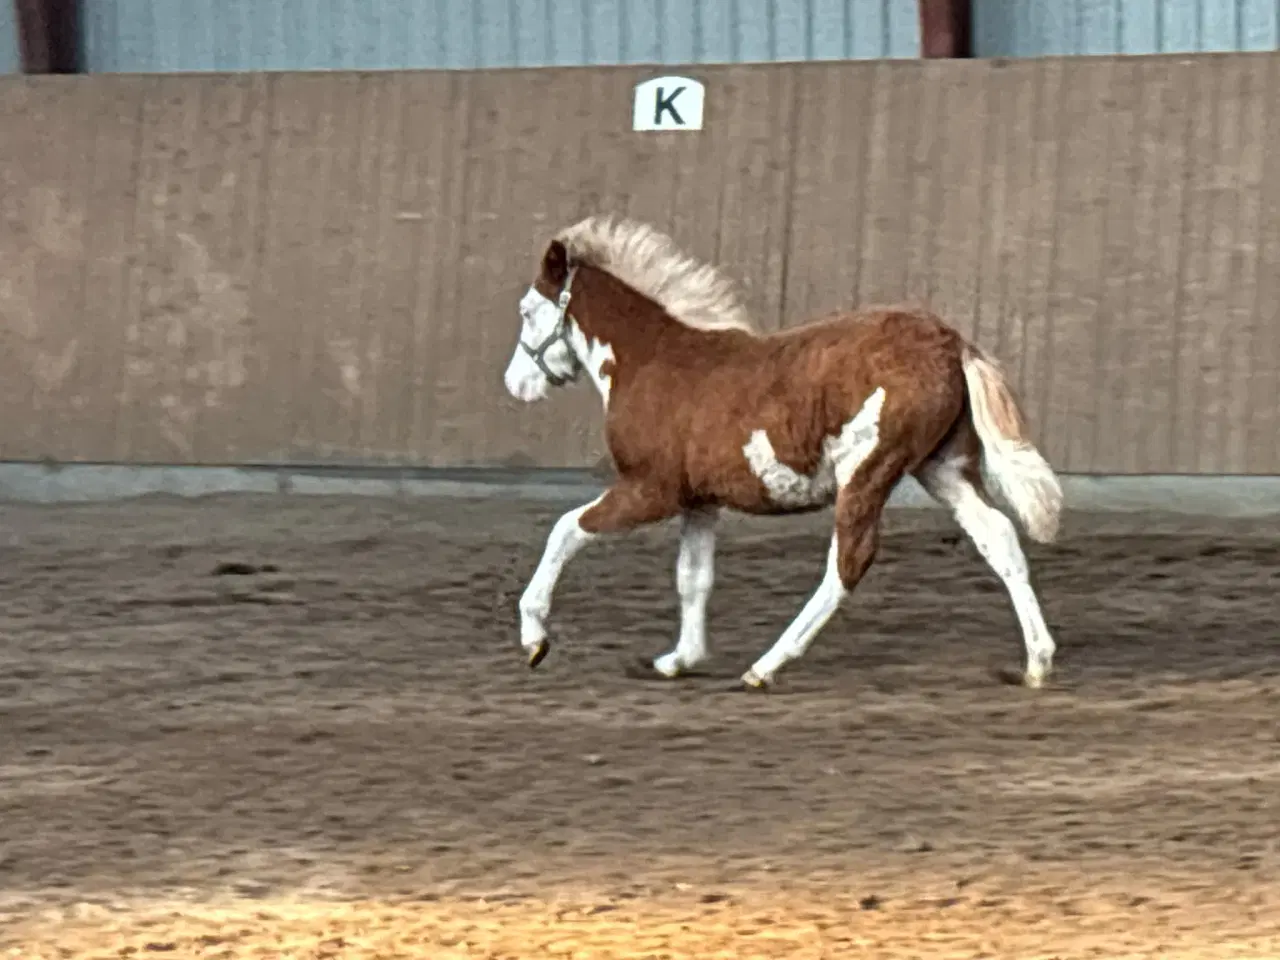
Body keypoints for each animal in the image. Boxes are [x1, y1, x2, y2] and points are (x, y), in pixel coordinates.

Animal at [499, 216, 1059, 691]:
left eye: (527, 311)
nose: (515, 384)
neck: (652, 362)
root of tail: (950, 342)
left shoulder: (649, 489)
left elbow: (566, 530)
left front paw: (535, 640)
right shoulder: (698, 500)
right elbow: (693, 578)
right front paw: (679, 659)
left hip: (868, 472)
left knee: (848, 562)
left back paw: (765, 666)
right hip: (940, 468)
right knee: (999, 538)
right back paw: (1037, 663)